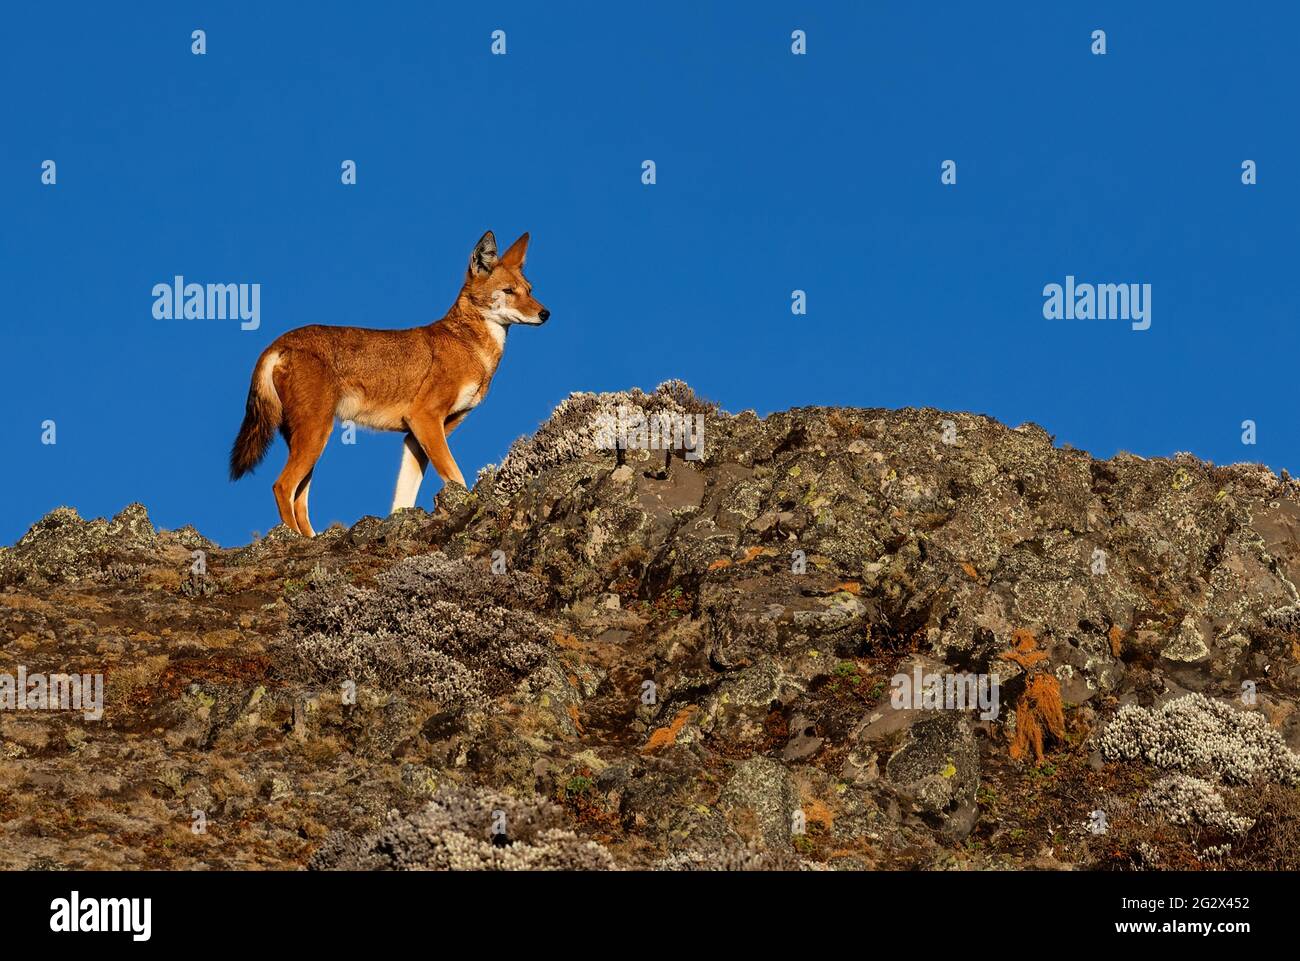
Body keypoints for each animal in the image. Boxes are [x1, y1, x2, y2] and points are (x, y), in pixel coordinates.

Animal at [228, 230, 548, 538]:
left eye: (529, 290)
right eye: (508, 291)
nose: (546, 313)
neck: (469, 346)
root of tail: (276, 343)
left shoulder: (416, 436)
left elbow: (402, 498)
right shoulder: (424, 419)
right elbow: (456, 478)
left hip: (311, 441)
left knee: (299, 498)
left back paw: (311, 537)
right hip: (316, 435)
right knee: (281, 486)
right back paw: (294, 538)